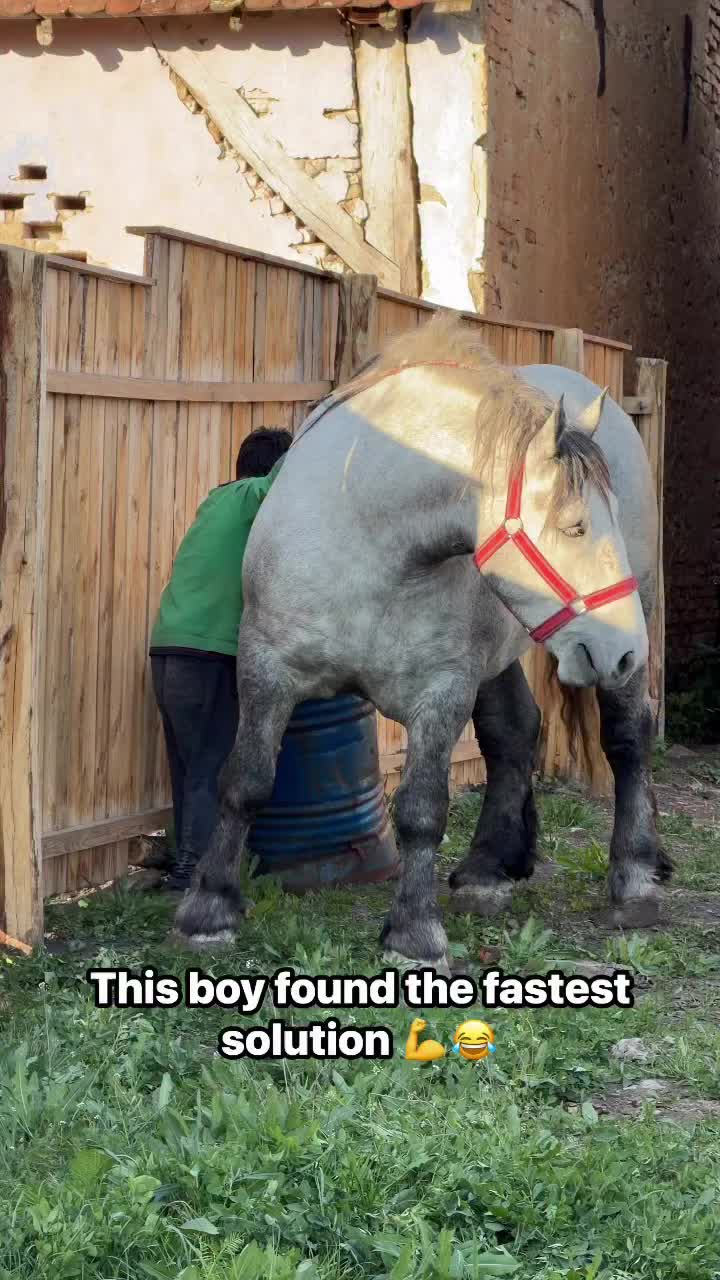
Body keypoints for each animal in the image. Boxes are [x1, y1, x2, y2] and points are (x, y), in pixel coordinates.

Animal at [175, 314, 670, 970]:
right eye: (575, 526)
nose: (625, 649)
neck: (368, 539)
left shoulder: (442, 692)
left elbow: (420, 809)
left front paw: (413, 931)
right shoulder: (266, 670)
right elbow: (245, 781)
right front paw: (209, 909)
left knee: (628, 737)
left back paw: (634, 877)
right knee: (515, 731)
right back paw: (489, 868)